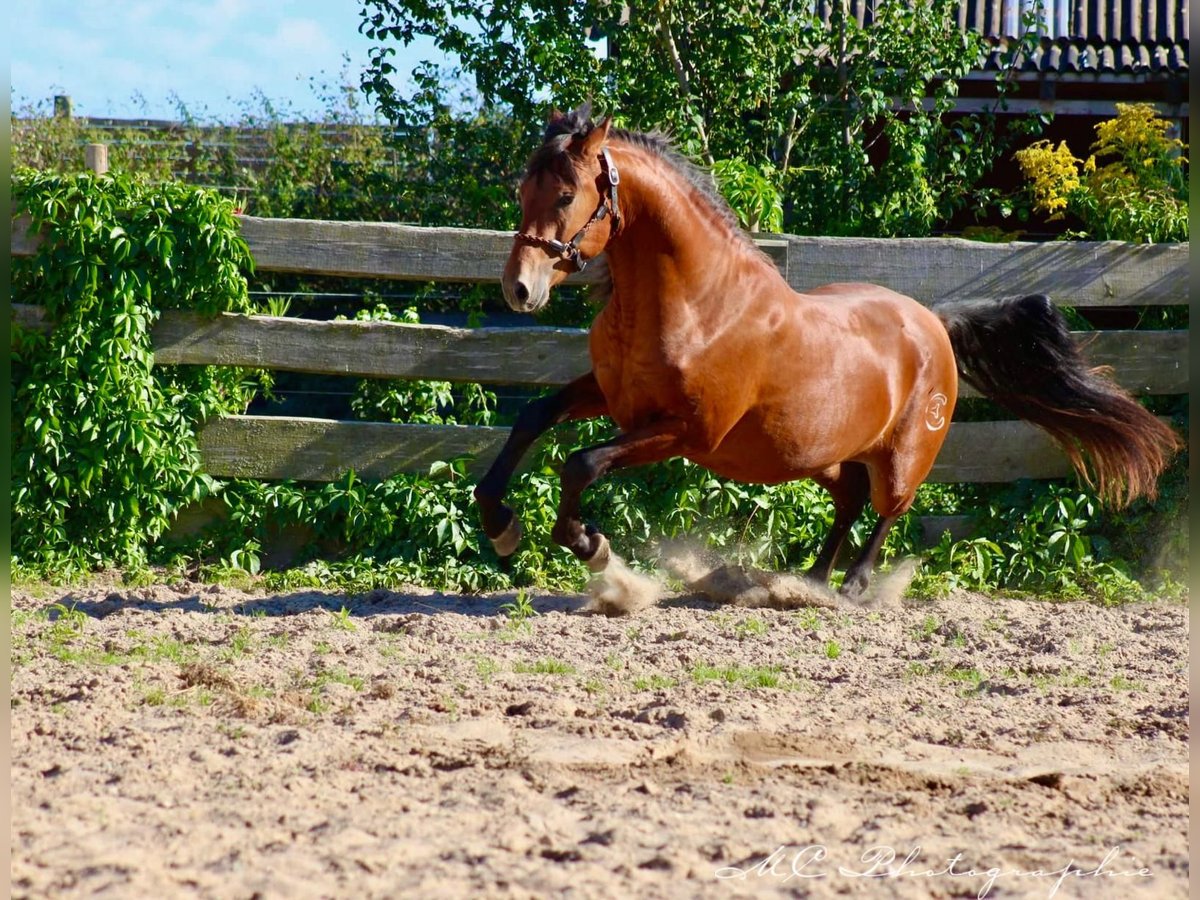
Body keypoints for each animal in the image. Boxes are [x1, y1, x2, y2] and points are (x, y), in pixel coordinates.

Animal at [470, 105, 1180, 600]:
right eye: (522, 193)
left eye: (567, 195)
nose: (519, 288)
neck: (697, 304)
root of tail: (933, 321)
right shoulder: (610, 394)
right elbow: (533, 418)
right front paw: (501, 524)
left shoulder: (686, 431)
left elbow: (581, 464)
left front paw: (590, 546)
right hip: (821, 453)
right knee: (849, 500)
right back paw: (807, 578)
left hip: (902, 454)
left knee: (890, 508)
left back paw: (853, 586)